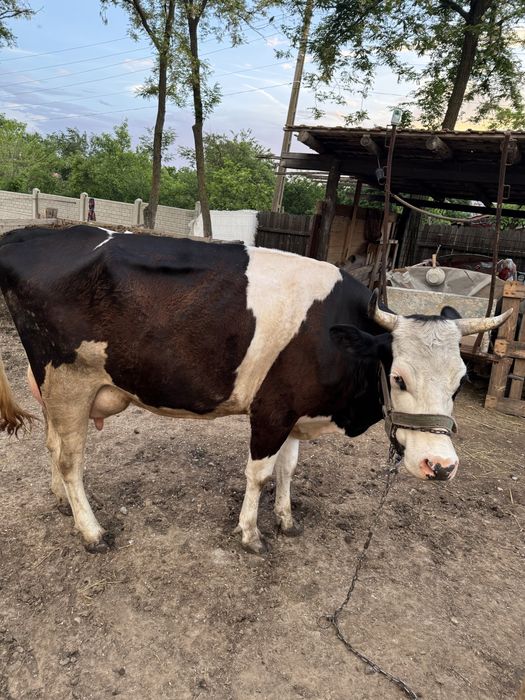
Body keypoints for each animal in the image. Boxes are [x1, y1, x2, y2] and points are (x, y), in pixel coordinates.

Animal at [0, 225, 510, 554]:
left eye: (460, 381)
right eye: (399, 377)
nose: (440, 466)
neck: (331, 335)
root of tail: (26, 235)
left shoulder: (297, 412)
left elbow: (288, 468)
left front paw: (285, 520)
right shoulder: (271, 410)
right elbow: (259, 473)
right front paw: (250, 534)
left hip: (54, 386)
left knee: (52, 446)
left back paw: (62, 503)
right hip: (68, 380)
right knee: (70, 459)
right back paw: (91, 531)